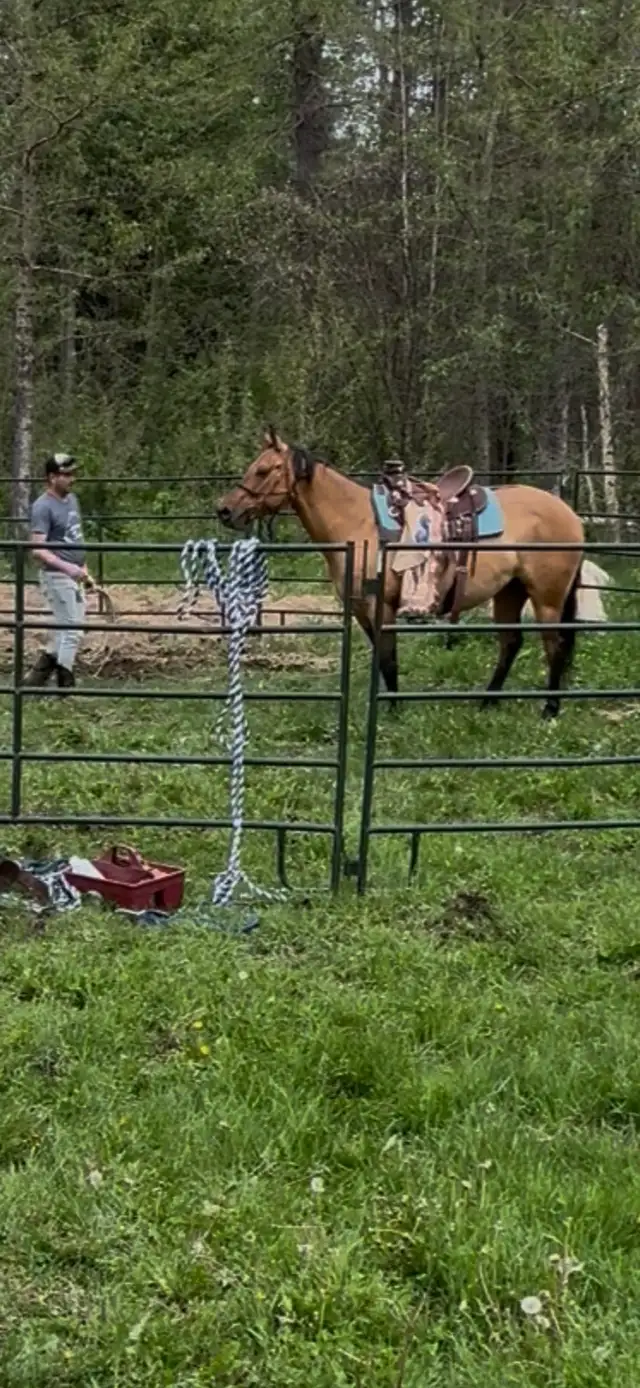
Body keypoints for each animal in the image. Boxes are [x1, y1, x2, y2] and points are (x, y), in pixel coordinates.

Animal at [216, 428, 586, 719]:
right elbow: (383, 659)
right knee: (511, 644)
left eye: (263, 470)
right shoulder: (361, 611)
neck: (358, 523)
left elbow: (389, 658)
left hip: (546, 597)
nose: (224, 510)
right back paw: (487, 702)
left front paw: (392, 710)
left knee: (554, 646)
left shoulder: (381, 606)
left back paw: (550, 709)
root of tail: (570, 514)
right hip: (510, 592)